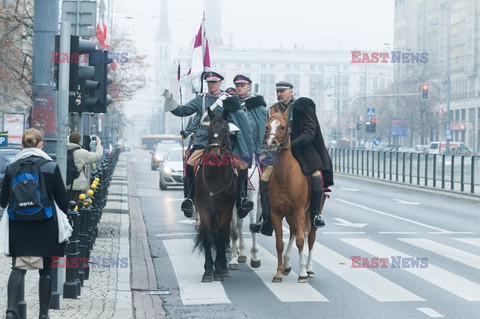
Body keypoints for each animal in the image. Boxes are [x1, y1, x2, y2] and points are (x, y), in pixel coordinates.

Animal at [264, 111, 316, 284]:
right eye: (267, 127)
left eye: (282, 127)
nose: (271, 143)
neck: (285, 177)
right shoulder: (276, 213)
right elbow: (279, 243)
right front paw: (278, 272)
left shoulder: (299, 211)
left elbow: (301, 241)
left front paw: (302, 273)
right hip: (289, 215)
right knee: (293, 231)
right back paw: (286, 265)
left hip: (311, 213)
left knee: (310, 238)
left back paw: (309, 269)